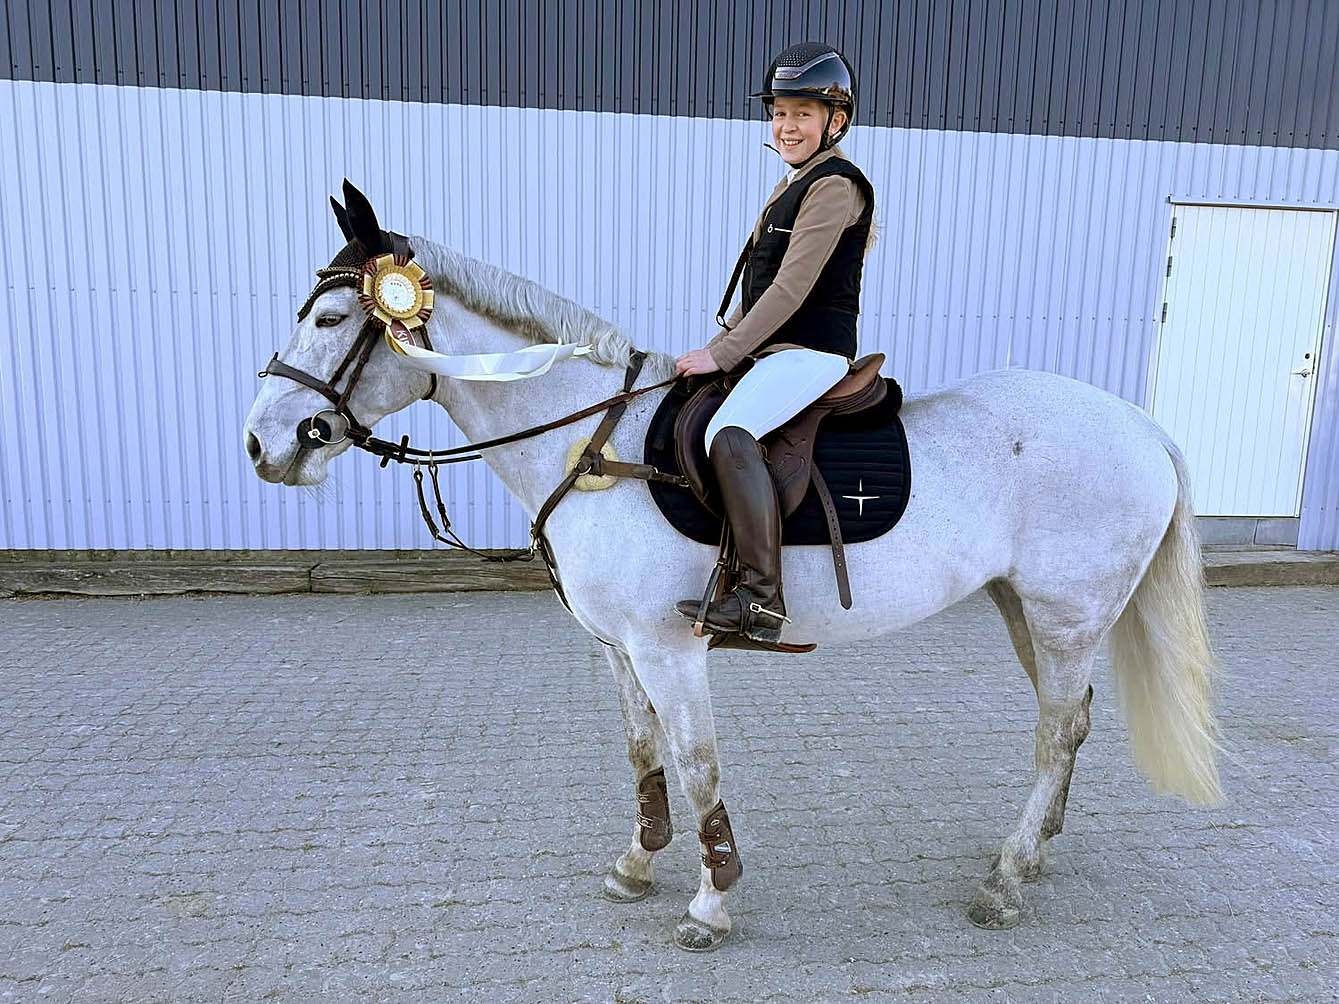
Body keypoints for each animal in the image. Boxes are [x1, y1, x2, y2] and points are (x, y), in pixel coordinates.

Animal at [242, 188, 1222, 952]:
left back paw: (1006, 882)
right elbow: (644, 754)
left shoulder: (669, 648)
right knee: (1072, 722)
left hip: (1062, 615)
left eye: (328, 319)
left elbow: (695, 761)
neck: (592, 442)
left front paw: (711, 904)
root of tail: (1141, 424)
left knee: (1055, 733)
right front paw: (637, 864)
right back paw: (1037, 849)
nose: (262, 445)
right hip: (1024, 609)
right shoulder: (618, 648)